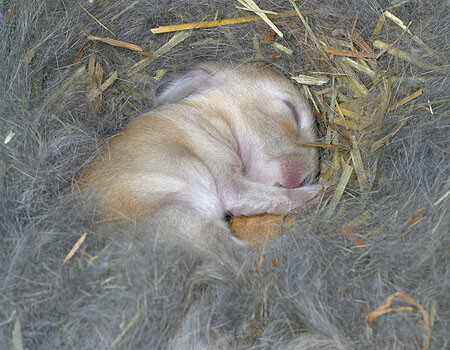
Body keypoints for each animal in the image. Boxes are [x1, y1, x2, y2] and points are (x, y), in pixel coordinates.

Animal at [77, 63, 324, 247]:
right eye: (291, 110)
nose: (305, 179)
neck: (213, 116)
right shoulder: (222, 171)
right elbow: (266, 196)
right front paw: (320, 190)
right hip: (182, 218)